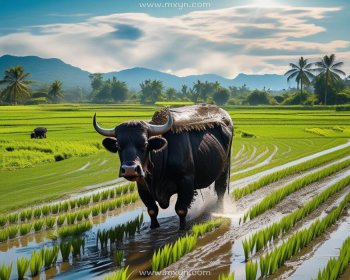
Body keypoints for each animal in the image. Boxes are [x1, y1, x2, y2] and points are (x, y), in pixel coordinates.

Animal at [94, 104, 234, 229]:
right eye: (118, 145)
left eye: (145, 144)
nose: (130, 170)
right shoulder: (142, 186)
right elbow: (152, 210)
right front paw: (154, 226)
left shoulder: (186, 181)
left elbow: (181, 209)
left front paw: (182, 227)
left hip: (224, 169)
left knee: (220, 191)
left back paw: (220, 211)